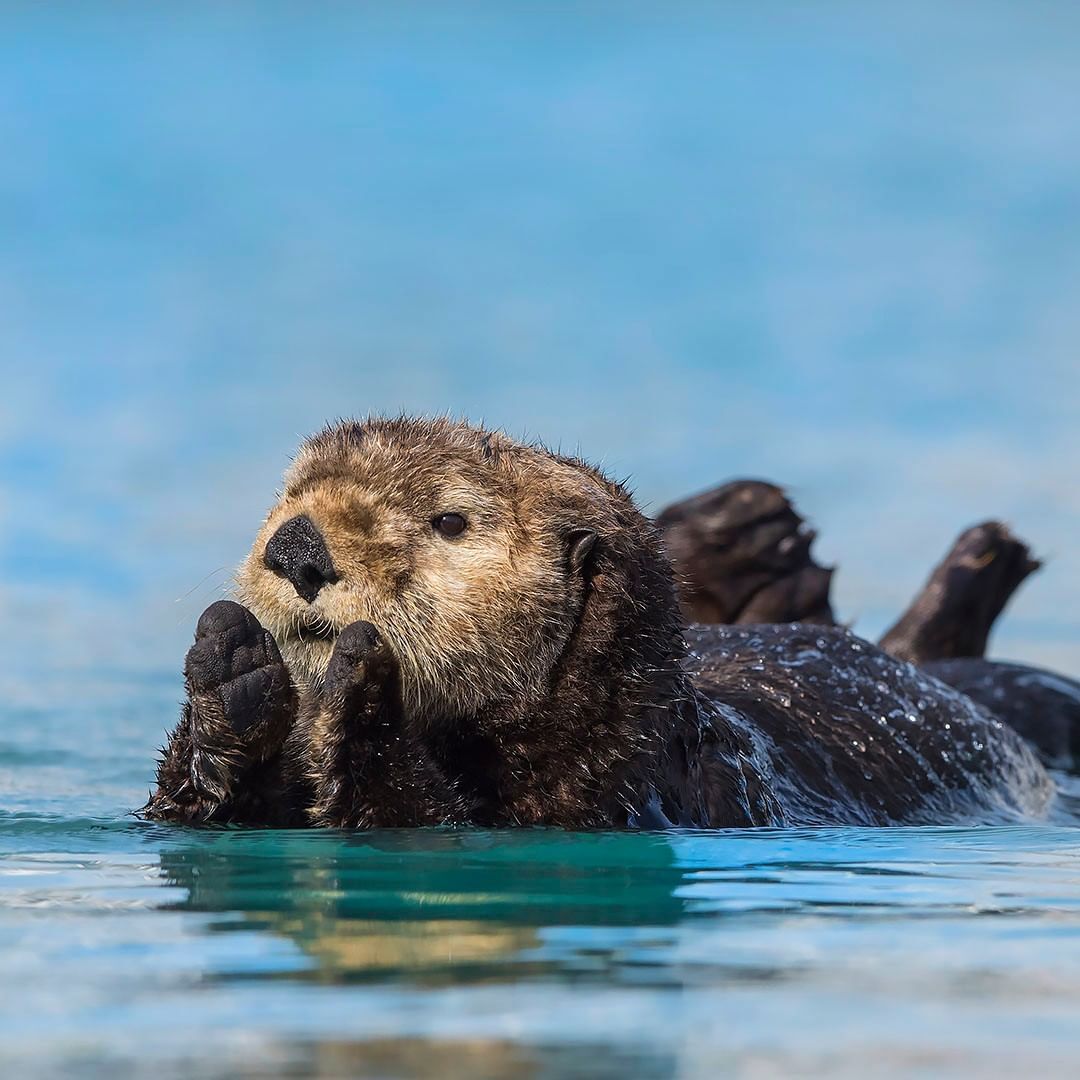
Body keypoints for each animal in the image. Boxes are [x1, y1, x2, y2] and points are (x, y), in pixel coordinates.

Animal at [139, 416, 1049, 829]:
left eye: (449, 521)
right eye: (287, 496)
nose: (296, 544)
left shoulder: (594, 798)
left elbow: (412, 811)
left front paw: (361, 684)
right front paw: (233, 668)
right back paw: (753, 534)